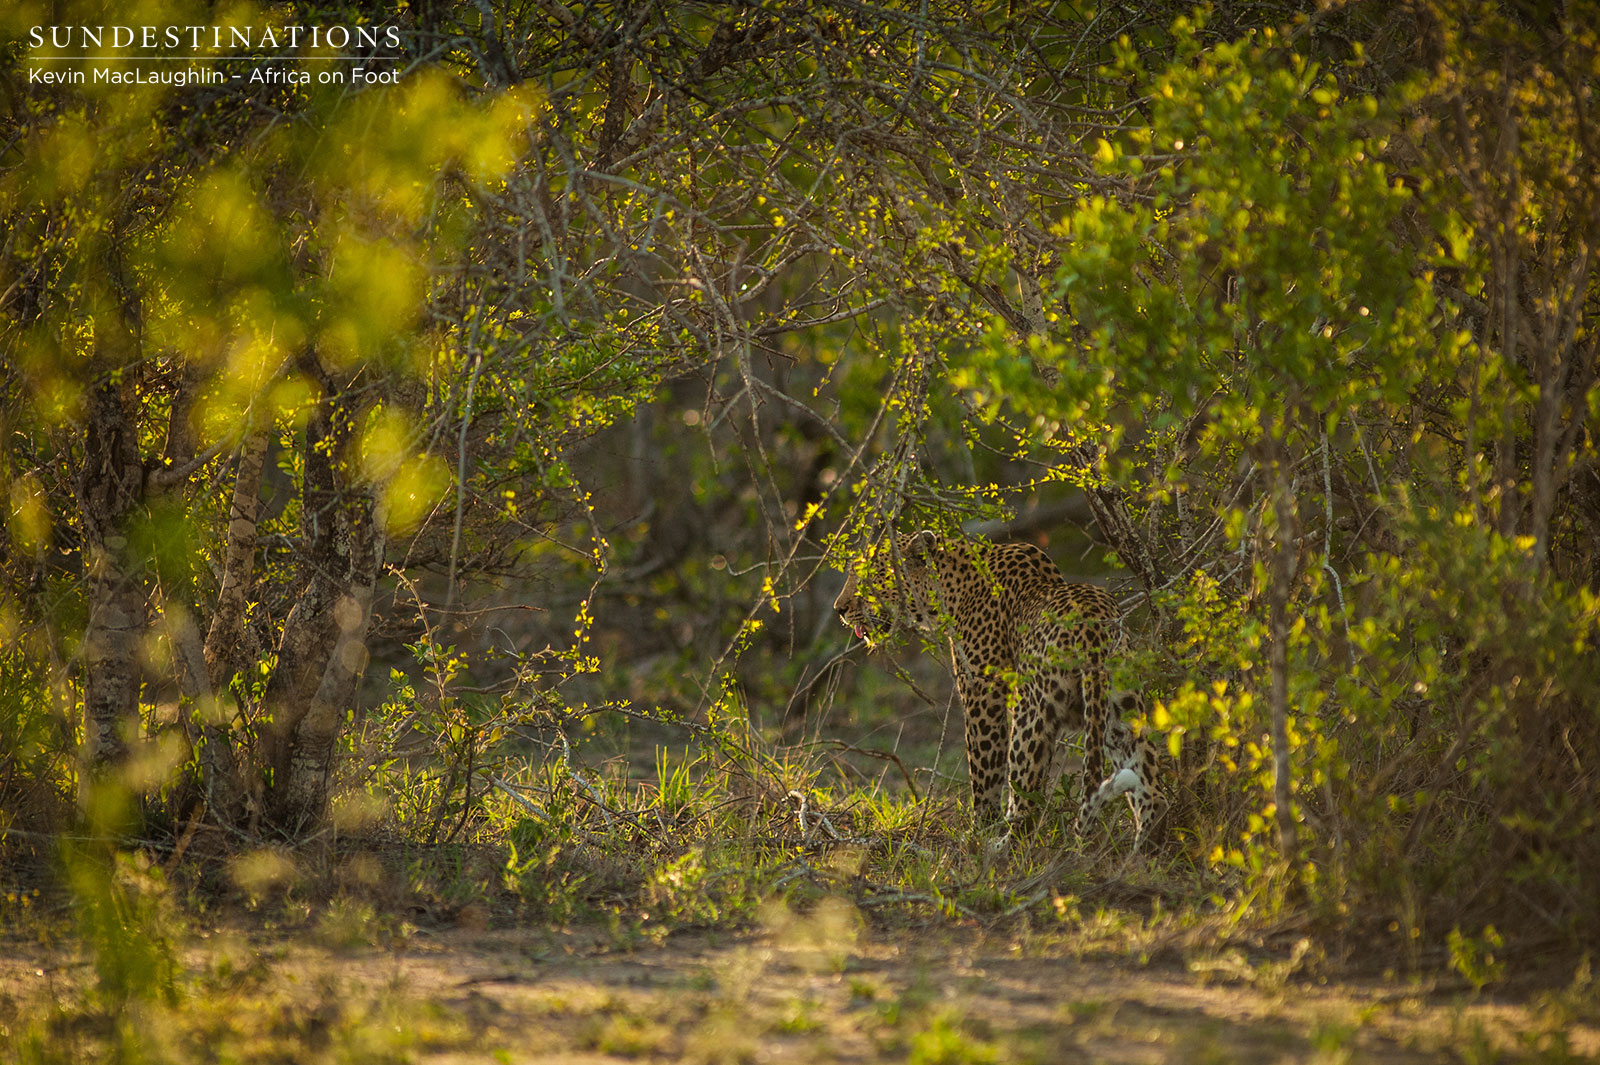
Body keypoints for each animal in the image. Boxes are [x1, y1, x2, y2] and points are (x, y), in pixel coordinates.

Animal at [833, 529, 1166, 851]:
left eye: (870, 577)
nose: (839, 609)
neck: (948, 587)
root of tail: (1091, 629)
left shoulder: (981, 691)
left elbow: (983, 766)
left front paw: (978, 829)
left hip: (1031, 712)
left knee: (1025, 798)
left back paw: (999, 844)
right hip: (1123, 708)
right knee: (1151, 789)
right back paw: (1144, 852)